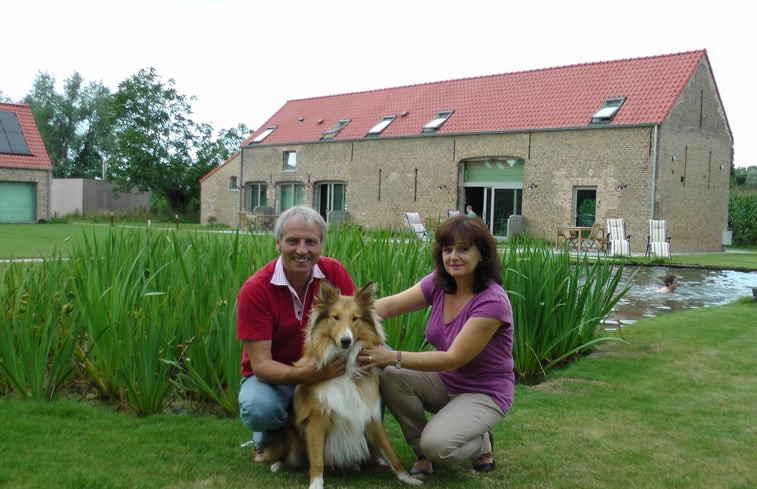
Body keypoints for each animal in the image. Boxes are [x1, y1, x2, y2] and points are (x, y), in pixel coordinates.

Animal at [262, 280, 422, 488]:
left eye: (355, 318)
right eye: (335, 317)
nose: (346, 341)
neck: (345, 362)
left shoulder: (370, 415)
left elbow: (391, 452)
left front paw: (408, 478)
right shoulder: (316, 420)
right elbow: (317, 461)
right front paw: (316, 484)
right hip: (289, 433)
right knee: (285, 454)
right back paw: (276, 464)